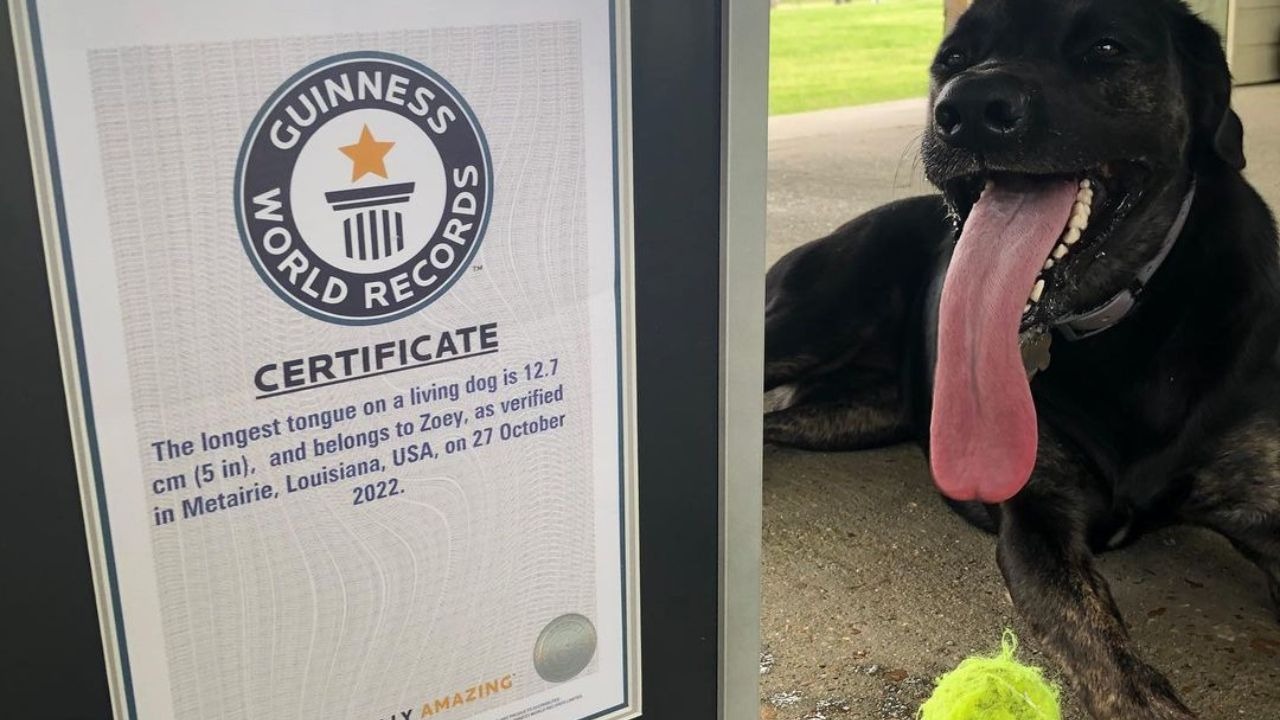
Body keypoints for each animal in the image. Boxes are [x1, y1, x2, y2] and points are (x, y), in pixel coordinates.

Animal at [762, 2, 1274, 712]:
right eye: (952, 60)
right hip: (810, 323)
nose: (970, 107)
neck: (1125, 319)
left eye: (1106, 47)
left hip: (853, 416)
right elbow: (1116, 668)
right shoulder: (1038, 521)